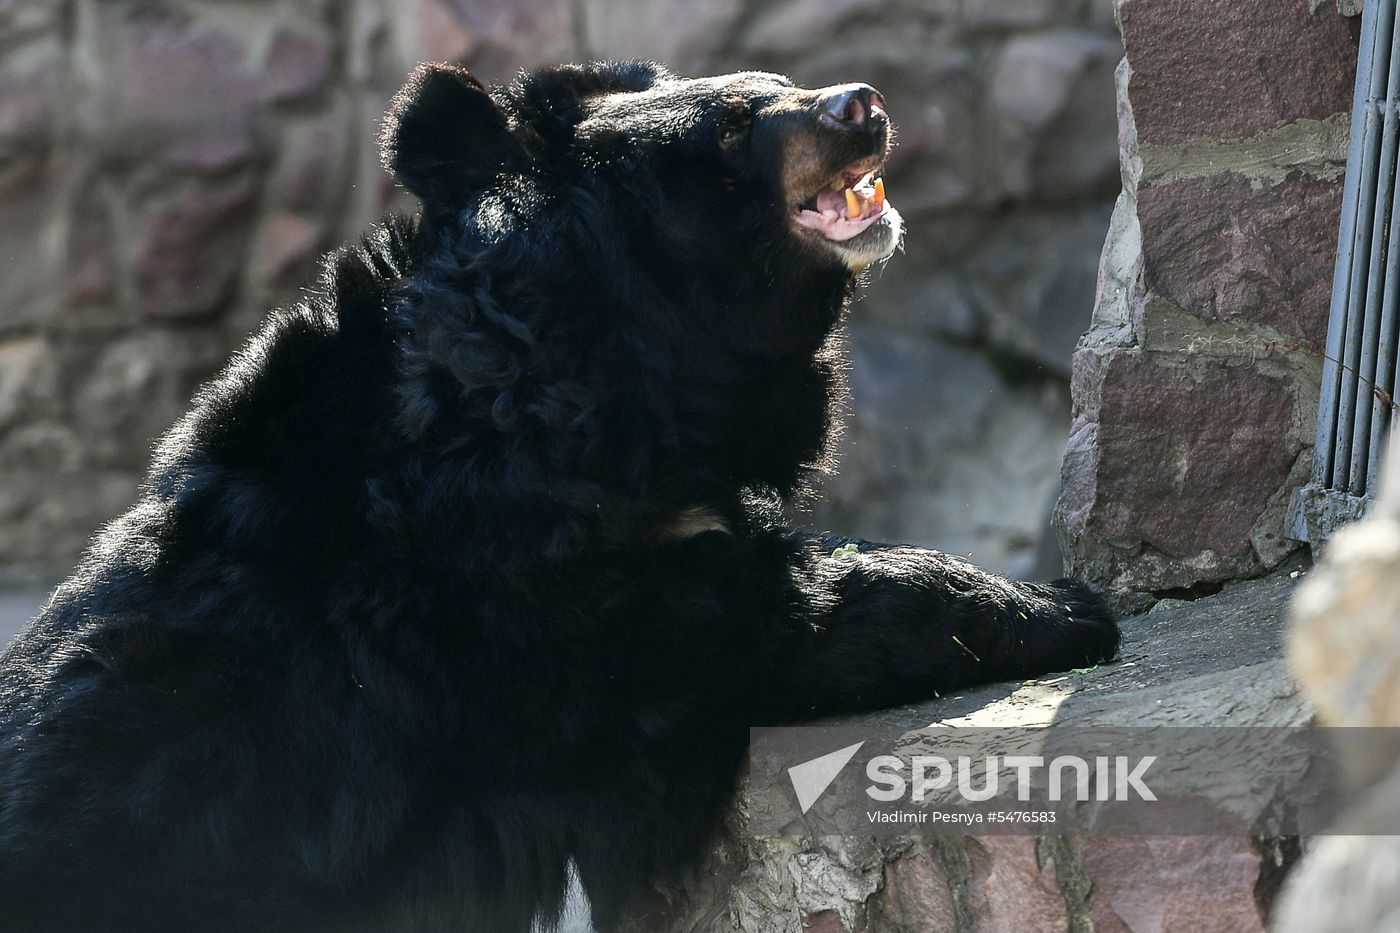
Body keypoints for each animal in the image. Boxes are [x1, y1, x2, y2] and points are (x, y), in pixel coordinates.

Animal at [0, 61, 1118, 932]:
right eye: (731, 127)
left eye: (776, 86)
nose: (862, 104)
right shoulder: (505, 609)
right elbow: (751, 620)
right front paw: (1062, 607)